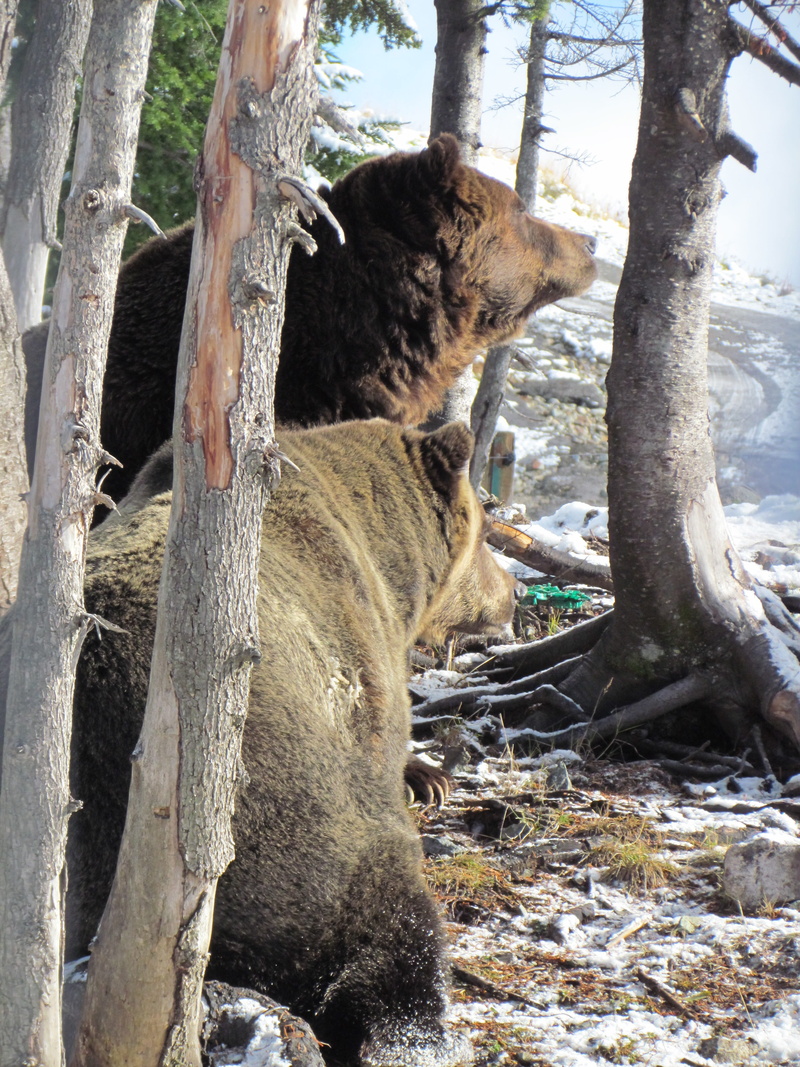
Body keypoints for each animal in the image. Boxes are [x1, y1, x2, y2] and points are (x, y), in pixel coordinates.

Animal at [67, 419, 522, 1066]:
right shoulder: (357, 671)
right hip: (275, 813)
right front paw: (426, 774)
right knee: (382, 924)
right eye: (486, 534)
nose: (513, 590)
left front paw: (429, 775)